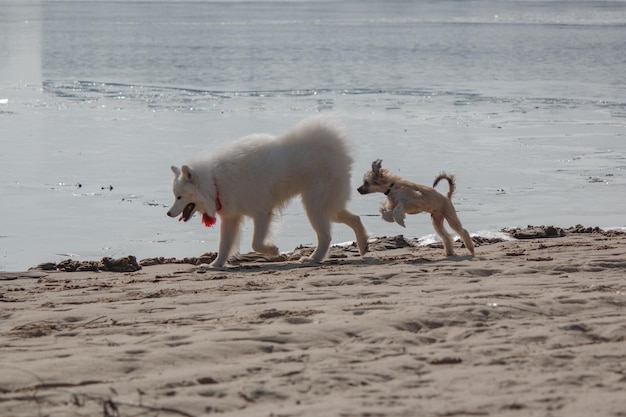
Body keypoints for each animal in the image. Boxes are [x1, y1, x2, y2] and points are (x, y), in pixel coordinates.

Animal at [168, 115, 368, 268]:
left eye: (179, 197)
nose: (168, 213)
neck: (214, 182)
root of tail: (333, 145)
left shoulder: (262, 213)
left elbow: (255, 243)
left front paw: (274, 250)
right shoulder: (231, 218)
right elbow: (224, 246)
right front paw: (214, 265)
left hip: (314, 206)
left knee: (326, 236)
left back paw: (313, 259)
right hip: (326, 205)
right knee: (354, 219)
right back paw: (363, 245)